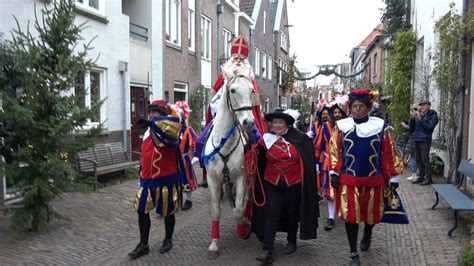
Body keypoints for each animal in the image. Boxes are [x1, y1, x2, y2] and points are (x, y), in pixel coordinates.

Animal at [204, 59, 256, 258]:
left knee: (247, 200)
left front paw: (243, 229)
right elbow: (215, 211)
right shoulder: (213, 179)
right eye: (232, 90)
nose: (249, 123)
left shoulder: (242, 177)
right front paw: (214, 244)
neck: (224, 146)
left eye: (252, 90)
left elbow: (238, 210)